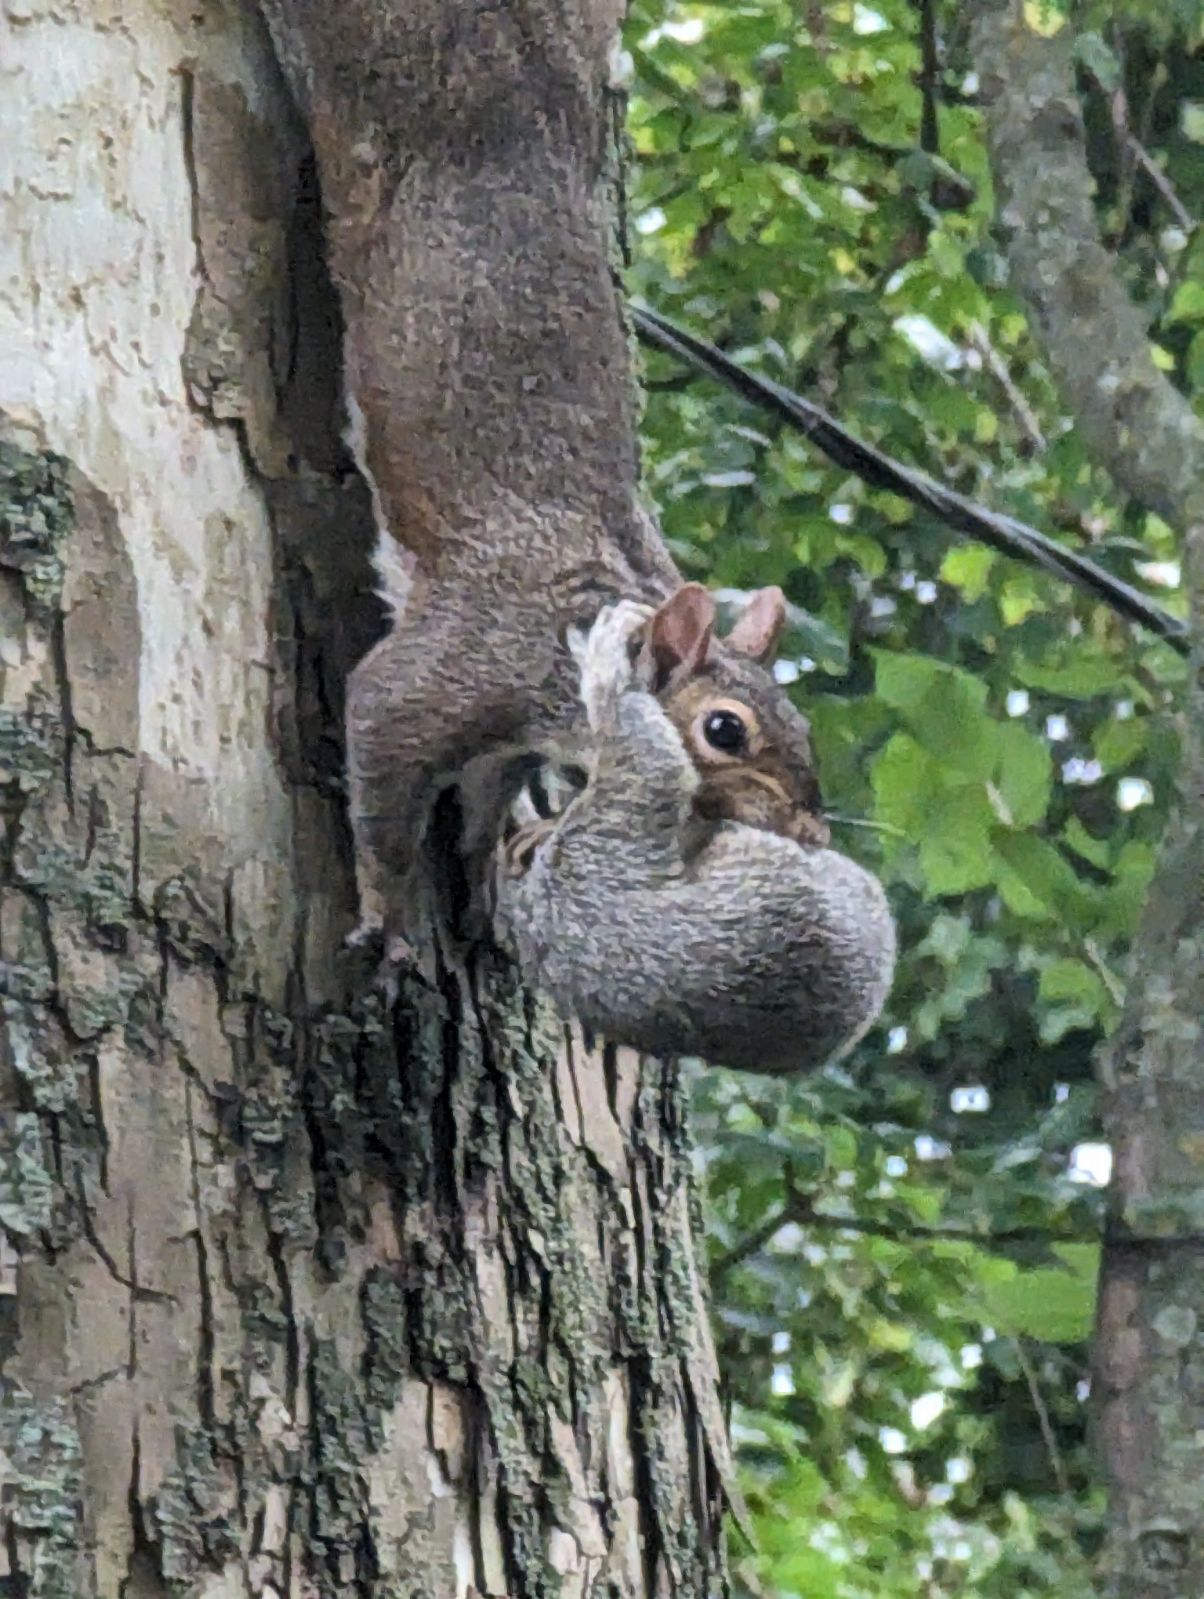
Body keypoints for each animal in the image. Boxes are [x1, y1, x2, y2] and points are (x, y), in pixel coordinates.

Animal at [489, 604, 895, 1080]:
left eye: (802, 725)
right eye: (724, 729)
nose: (816, 833)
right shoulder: (594, 857)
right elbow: (649, 753)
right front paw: (607, 665)